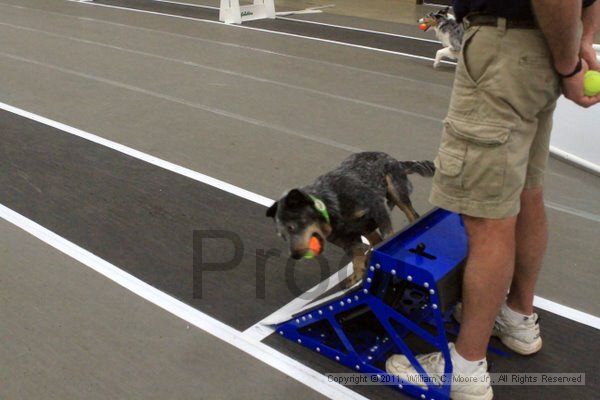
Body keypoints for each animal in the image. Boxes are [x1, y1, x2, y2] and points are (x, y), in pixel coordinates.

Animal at [264, 152, 434, 286]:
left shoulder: (377, 206)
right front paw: (357, 275)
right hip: (366, 227)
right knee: (375, 239)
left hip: (395, 191)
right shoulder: (347, 239)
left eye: (292, 227)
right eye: (282, 235)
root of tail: (396, 160)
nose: (295, 255)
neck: (331, 205)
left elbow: (387, 235)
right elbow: (356, 258)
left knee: (412, 215)